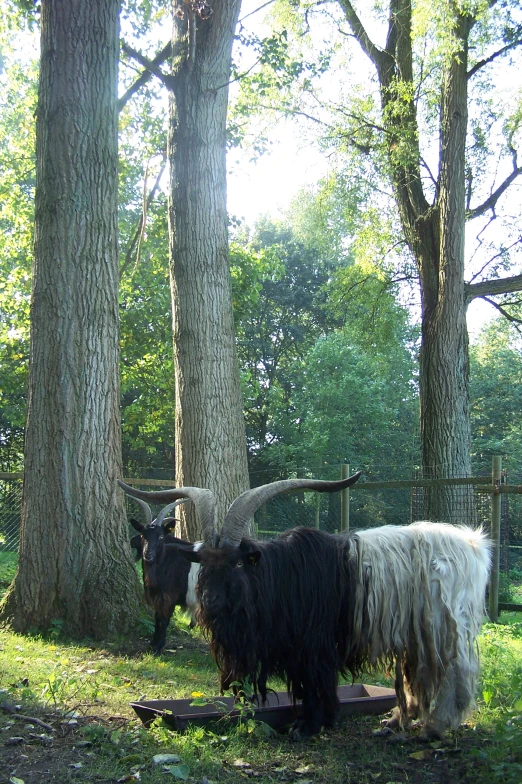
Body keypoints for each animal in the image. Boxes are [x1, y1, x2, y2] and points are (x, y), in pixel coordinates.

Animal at [122, 490, 201, 656]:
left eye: (160, 536)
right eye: (143, 535)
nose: (148, 554)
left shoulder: (168, 598)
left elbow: (164, 620)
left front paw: (158, 648)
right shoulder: (157, 597)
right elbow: (157, 618)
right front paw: (152, 645)